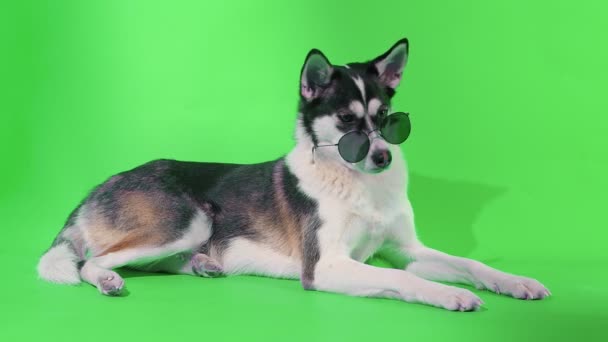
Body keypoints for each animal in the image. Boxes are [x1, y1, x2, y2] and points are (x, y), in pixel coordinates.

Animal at [38, 38, 552, 312]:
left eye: (388, 119)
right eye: (346, 121)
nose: (383, 157)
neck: (356, 181)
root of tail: (96, 188)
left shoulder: (409, 251)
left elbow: (470, 264)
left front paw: (514, 282)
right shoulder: (325, 267)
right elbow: (403, 280)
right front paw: (448, 294)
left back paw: (203, 264)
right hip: (190, 218)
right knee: (92, 261)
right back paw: (109, 280)